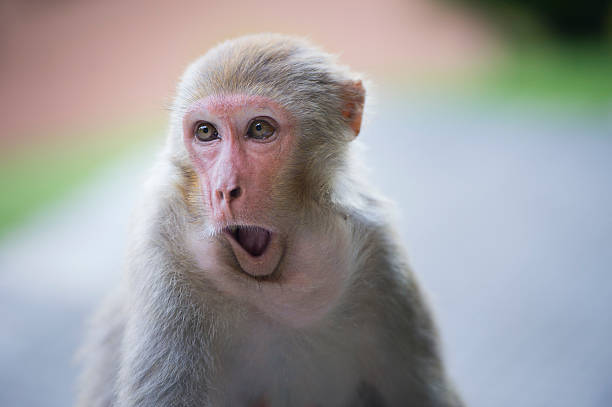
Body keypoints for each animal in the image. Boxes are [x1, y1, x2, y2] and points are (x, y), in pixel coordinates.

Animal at [75, 34, 464, 407]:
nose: (224, 190)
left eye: (260, 129)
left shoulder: (380, 258)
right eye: (206, 132)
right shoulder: (162, 249)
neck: (275, 287)